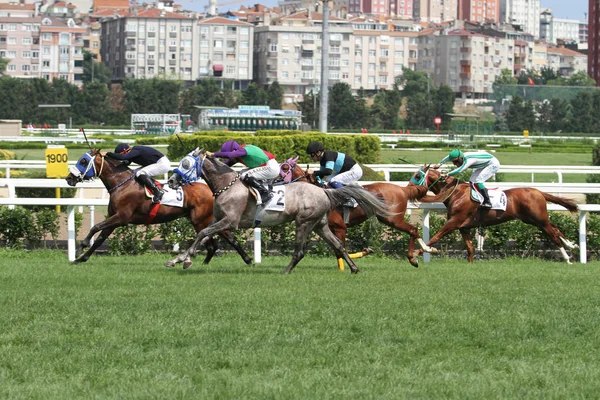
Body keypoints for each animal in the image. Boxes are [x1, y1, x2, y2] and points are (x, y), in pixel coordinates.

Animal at [64, 148, 252, 268]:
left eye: (83, 161)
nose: (69, 178)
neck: (121, 184)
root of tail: (211, 190)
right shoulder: (114, 218)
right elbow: (100, 238)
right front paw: (80, 258)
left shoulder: (121, 217)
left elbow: (95, 227)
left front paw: (81, 246)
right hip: (200, 221)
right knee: (214, 243)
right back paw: (200, 263)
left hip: (201, 220)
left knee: (225, 239)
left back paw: (247, 259)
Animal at [166, 148, 392, 274]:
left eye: (186, 163)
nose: (171, 181)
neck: (226, 185)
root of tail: (324, 192)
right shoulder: (219, 220)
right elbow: (203, 236)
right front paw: (178, 259)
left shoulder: (230, 221)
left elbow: (204, 233)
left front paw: (186, 258)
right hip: (320, 225)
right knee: (338, 245)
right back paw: (354, 269)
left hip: (304, 222)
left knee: (300, 251)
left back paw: (285, 271)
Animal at [278, 158, 438, 268]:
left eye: (284, 167)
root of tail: (402, 189)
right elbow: (338, 249)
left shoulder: (340, 227)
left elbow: (341, 248)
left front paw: (361, 255)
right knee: (412, 230)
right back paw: (419, 254)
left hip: (392, 219)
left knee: (413, 229)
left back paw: (420, 253)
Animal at [410, 164, 580, 264]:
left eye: (417, 176)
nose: (409, 188)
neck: (456, 193)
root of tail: (538, 191)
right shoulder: (463, 227)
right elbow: (470, 248)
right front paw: (470, 264)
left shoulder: (453, 222)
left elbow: (434, 237)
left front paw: (418, 253)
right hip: (532, 219)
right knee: (555, 228)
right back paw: (572, 244)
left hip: (539, 219)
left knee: (553, 235)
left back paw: (567, 258)